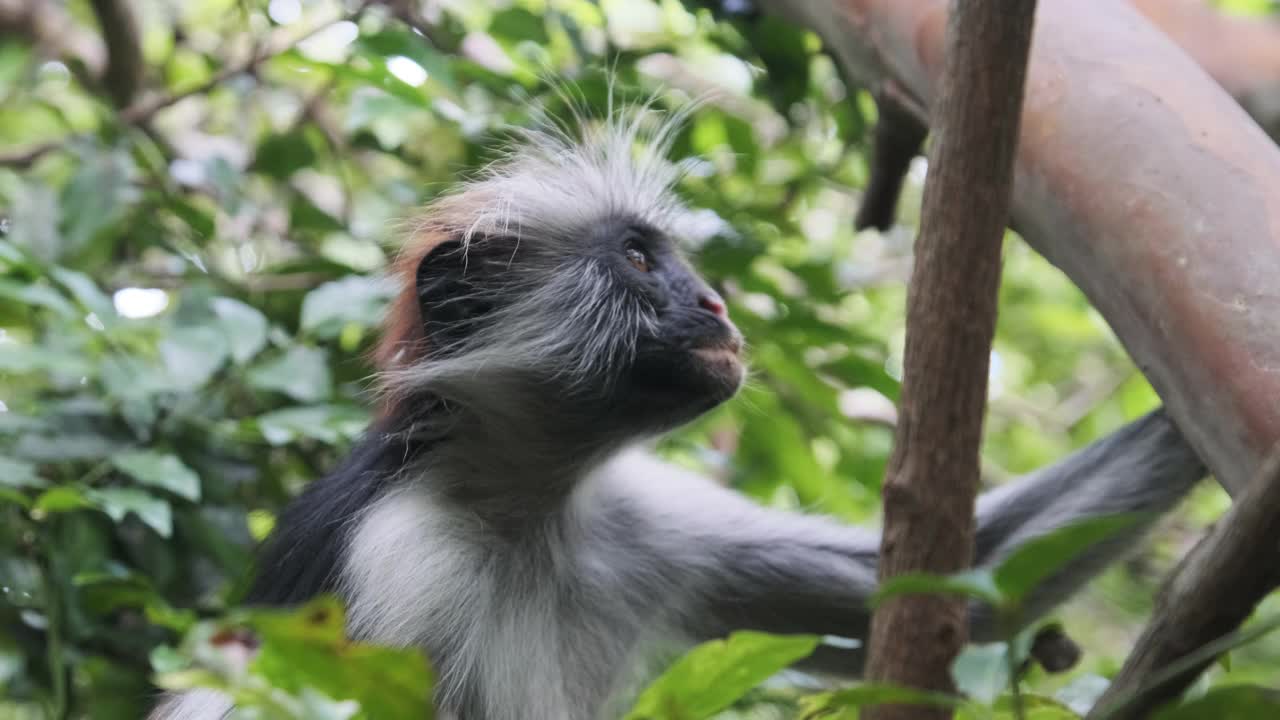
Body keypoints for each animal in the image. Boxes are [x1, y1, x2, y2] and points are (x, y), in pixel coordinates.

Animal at [154, 109, 1203, 712]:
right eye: (637, 258)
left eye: (673, 257)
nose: (716, 304)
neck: (517, 506)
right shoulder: (397, 568)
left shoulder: (633, 519)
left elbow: (972, 579)